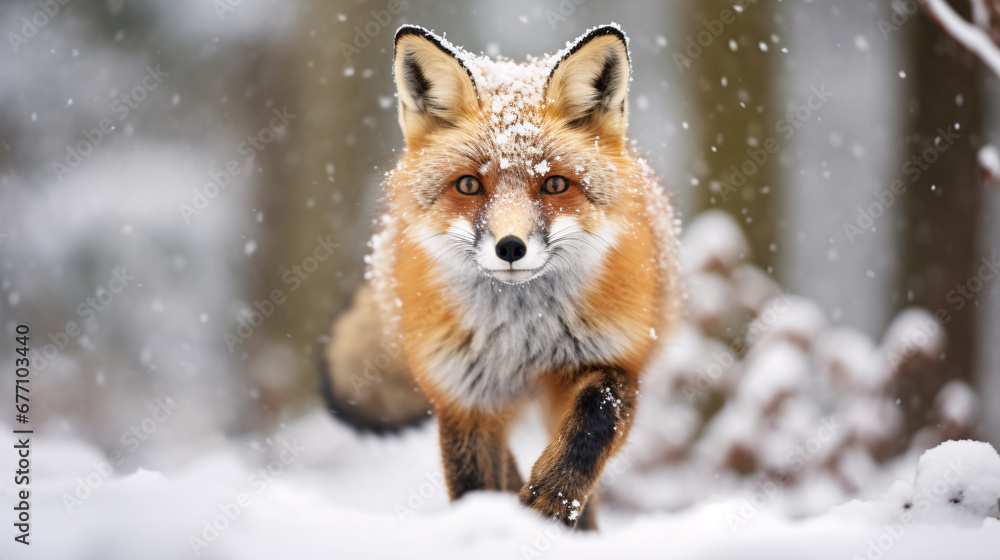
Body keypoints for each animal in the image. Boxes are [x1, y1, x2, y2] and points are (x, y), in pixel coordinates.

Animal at [320, 23, 680, 529]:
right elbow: (474, 483)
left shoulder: (614, 359)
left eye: (555, 184)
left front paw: (550, 505)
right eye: (469, 185)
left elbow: (590, 432)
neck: (521, 338)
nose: (511, 247)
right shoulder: (463, 396)